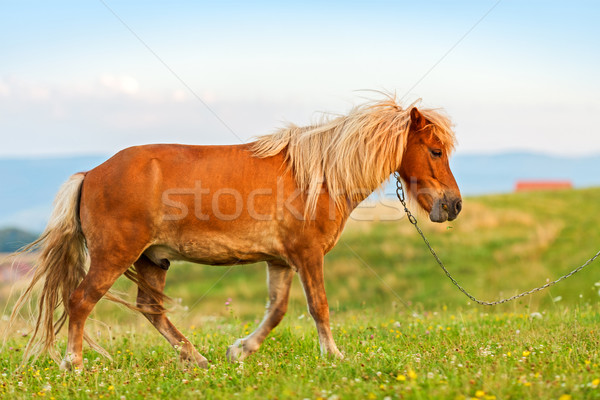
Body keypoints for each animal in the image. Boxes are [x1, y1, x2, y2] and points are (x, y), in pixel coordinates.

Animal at [8, 96, 460, 368]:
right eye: (435, 151)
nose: (452, 205)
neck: (317, 176)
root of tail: (90, 174)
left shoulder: (281, 261)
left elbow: (276, 311)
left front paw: (240, 350)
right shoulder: (307, 255)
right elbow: (319, 307)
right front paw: (333, 355)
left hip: (153, 259)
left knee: (151, 309)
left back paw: (197, 360)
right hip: (114, 256)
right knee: (81, 300)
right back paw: (74, 364)